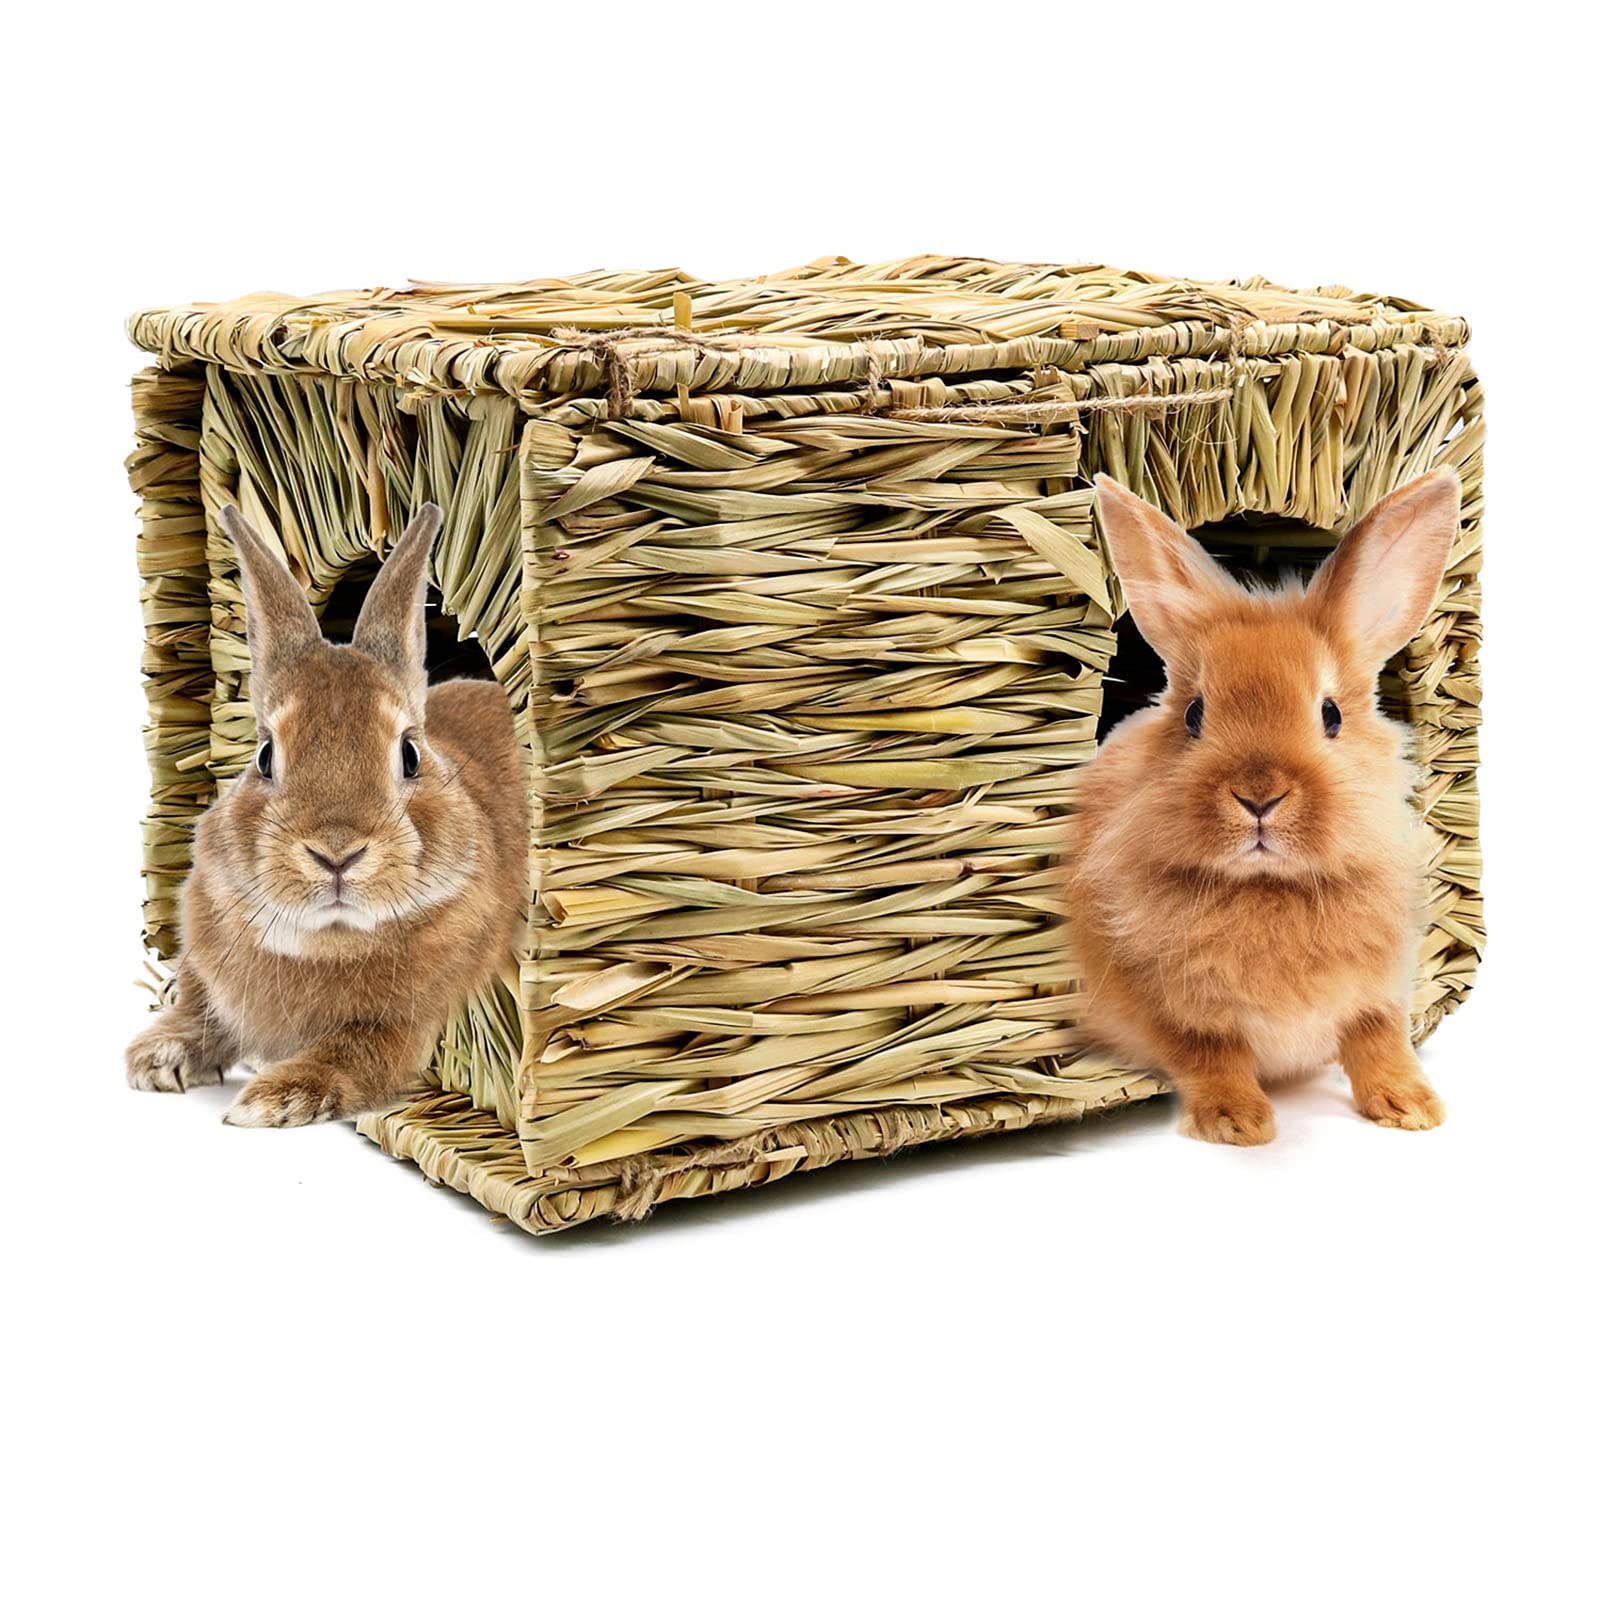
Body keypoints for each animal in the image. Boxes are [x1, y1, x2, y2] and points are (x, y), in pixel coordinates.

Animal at [125, 502, 528, 1128]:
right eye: (265, 756)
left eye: (410, 754)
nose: (337, 854)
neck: (329, 940)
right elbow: (201, 1008)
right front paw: (156, 1057)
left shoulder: (402, 1025)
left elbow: (353, 1053)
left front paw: (271, 1101)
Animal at [1066, 469, 1462, 1145]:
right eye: (1193, 715)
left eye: (1331, 715)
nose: (1258, 796)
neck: (1269, 888)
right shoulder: (1171, 1009)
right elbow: (1210, 1053)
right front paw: (1237, 1123)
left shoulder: (1379, 992)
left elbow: (1379, 1041)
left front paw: (1412, 1109)